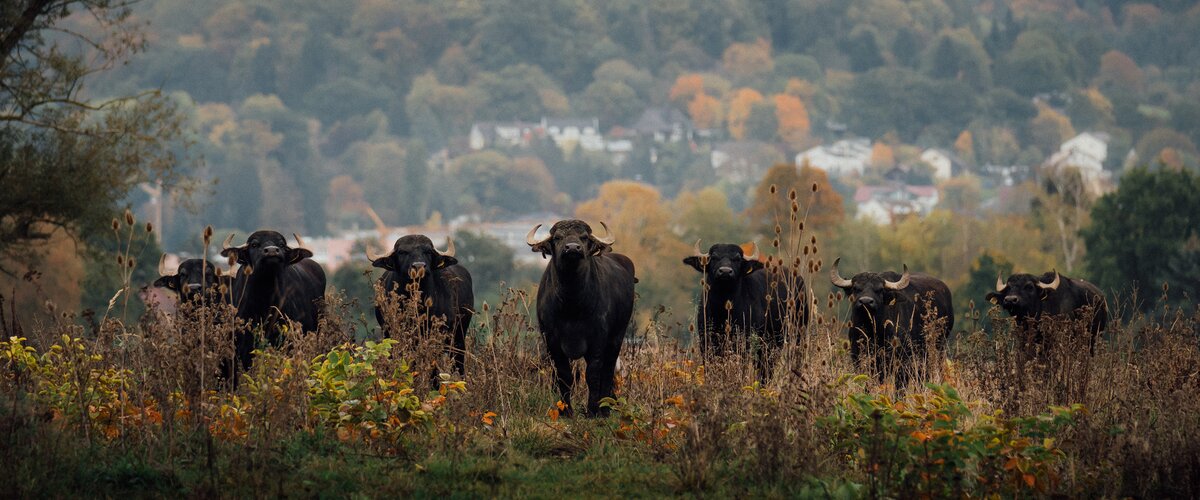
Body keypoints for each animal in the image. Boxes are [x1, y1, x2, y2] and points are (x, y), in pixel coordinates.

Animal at [528, 219, 638, 417]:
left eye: (584, 237)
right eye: (557, 237)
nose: (572, 248)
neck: (572, 304)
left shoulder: (598, 340)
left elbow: (593, 375)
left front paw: (593, 410)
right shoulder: (552, 341)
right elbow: (564, 375)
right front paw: (566, 410)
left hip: (617, 337)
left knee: (608, 370)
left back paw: (606, 408)